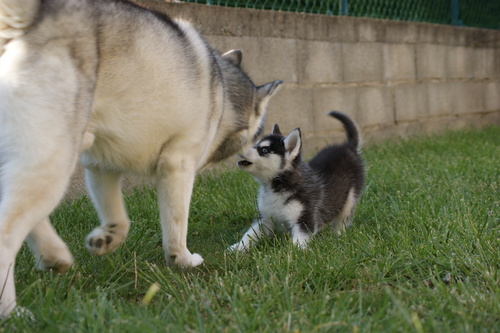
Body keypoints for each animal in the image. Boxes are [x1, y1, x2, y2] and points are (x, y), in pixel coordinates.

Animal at [0, 0, 282, 316]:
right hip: (54, 161)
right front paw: (182, 260)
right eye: (257, 133)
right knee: (7, 234)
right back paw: (10, 311)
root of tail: (29, 16)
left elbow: (119, 219)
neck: (222, 92)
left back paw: (53, 255)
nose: (263, 146)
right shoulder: (177, 165)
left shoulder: (100, 166)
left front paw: (108, 239)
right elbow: (176, 224)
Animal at [229, 110, 364, 250]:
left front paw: (292, 252)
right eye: (256, 144)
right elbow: (250, 234)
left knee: (343, 218)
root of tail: (348, 147)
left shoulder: (304, 218)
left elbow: (299, 241)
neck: (276, 186)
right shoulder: (265, 218)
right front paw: (237, 248)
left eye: (264, 150)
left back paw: (338, 234)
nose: (238, 148)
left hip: (351, 198)